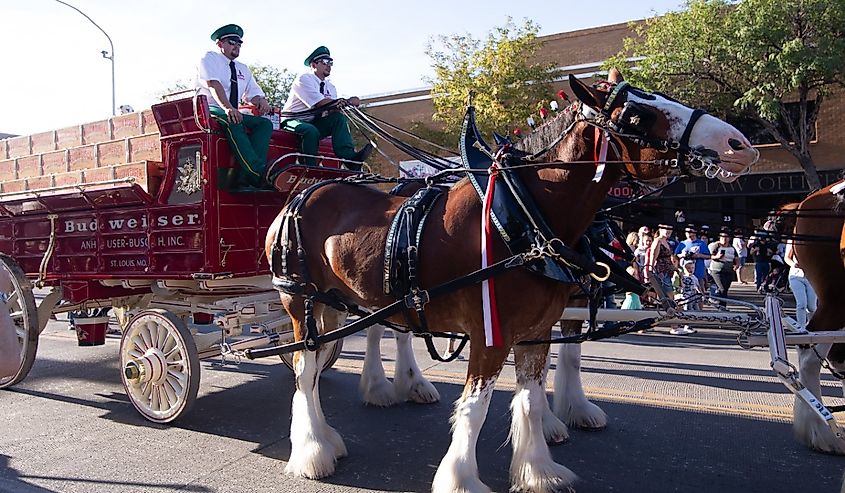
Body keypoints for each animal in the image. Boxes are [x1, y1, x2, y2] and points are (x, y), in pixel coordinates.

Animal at [264, 70, 760, 492]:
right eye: (637, 115)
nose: (740, 144)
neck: (525, 215)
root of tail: (302, 191)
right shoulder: (490, 333)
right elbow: (475, 407)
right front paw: (461, 479)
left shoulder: (536, 330)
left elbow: (532, 398)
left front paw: (539, 469)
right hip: (299, 302)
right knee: (306, 370)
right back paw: (315, 450)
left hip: (346, 300)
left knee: (343, 352)